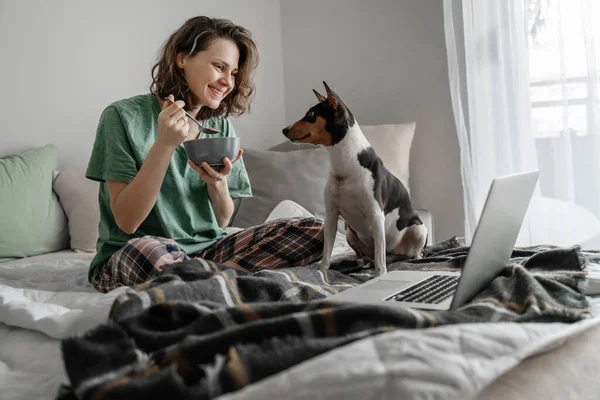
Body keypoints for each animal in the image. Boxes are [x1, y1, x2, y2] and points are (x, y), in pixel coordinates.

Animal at [282, 81, 426, 276]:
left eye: (311, 115)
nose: (284, 130)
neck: (345, 165)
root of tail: (395, 252)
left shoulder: (376, 214)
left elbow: (380, 262)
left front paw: (379, 276)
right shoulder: (331, 215)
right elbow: (326, 254)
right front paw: (323, 272)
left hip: (418, 228)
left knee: (405, 253)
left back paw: (412, 256)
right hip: (350, 233)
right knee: (369, 256)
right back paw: (359, 262)